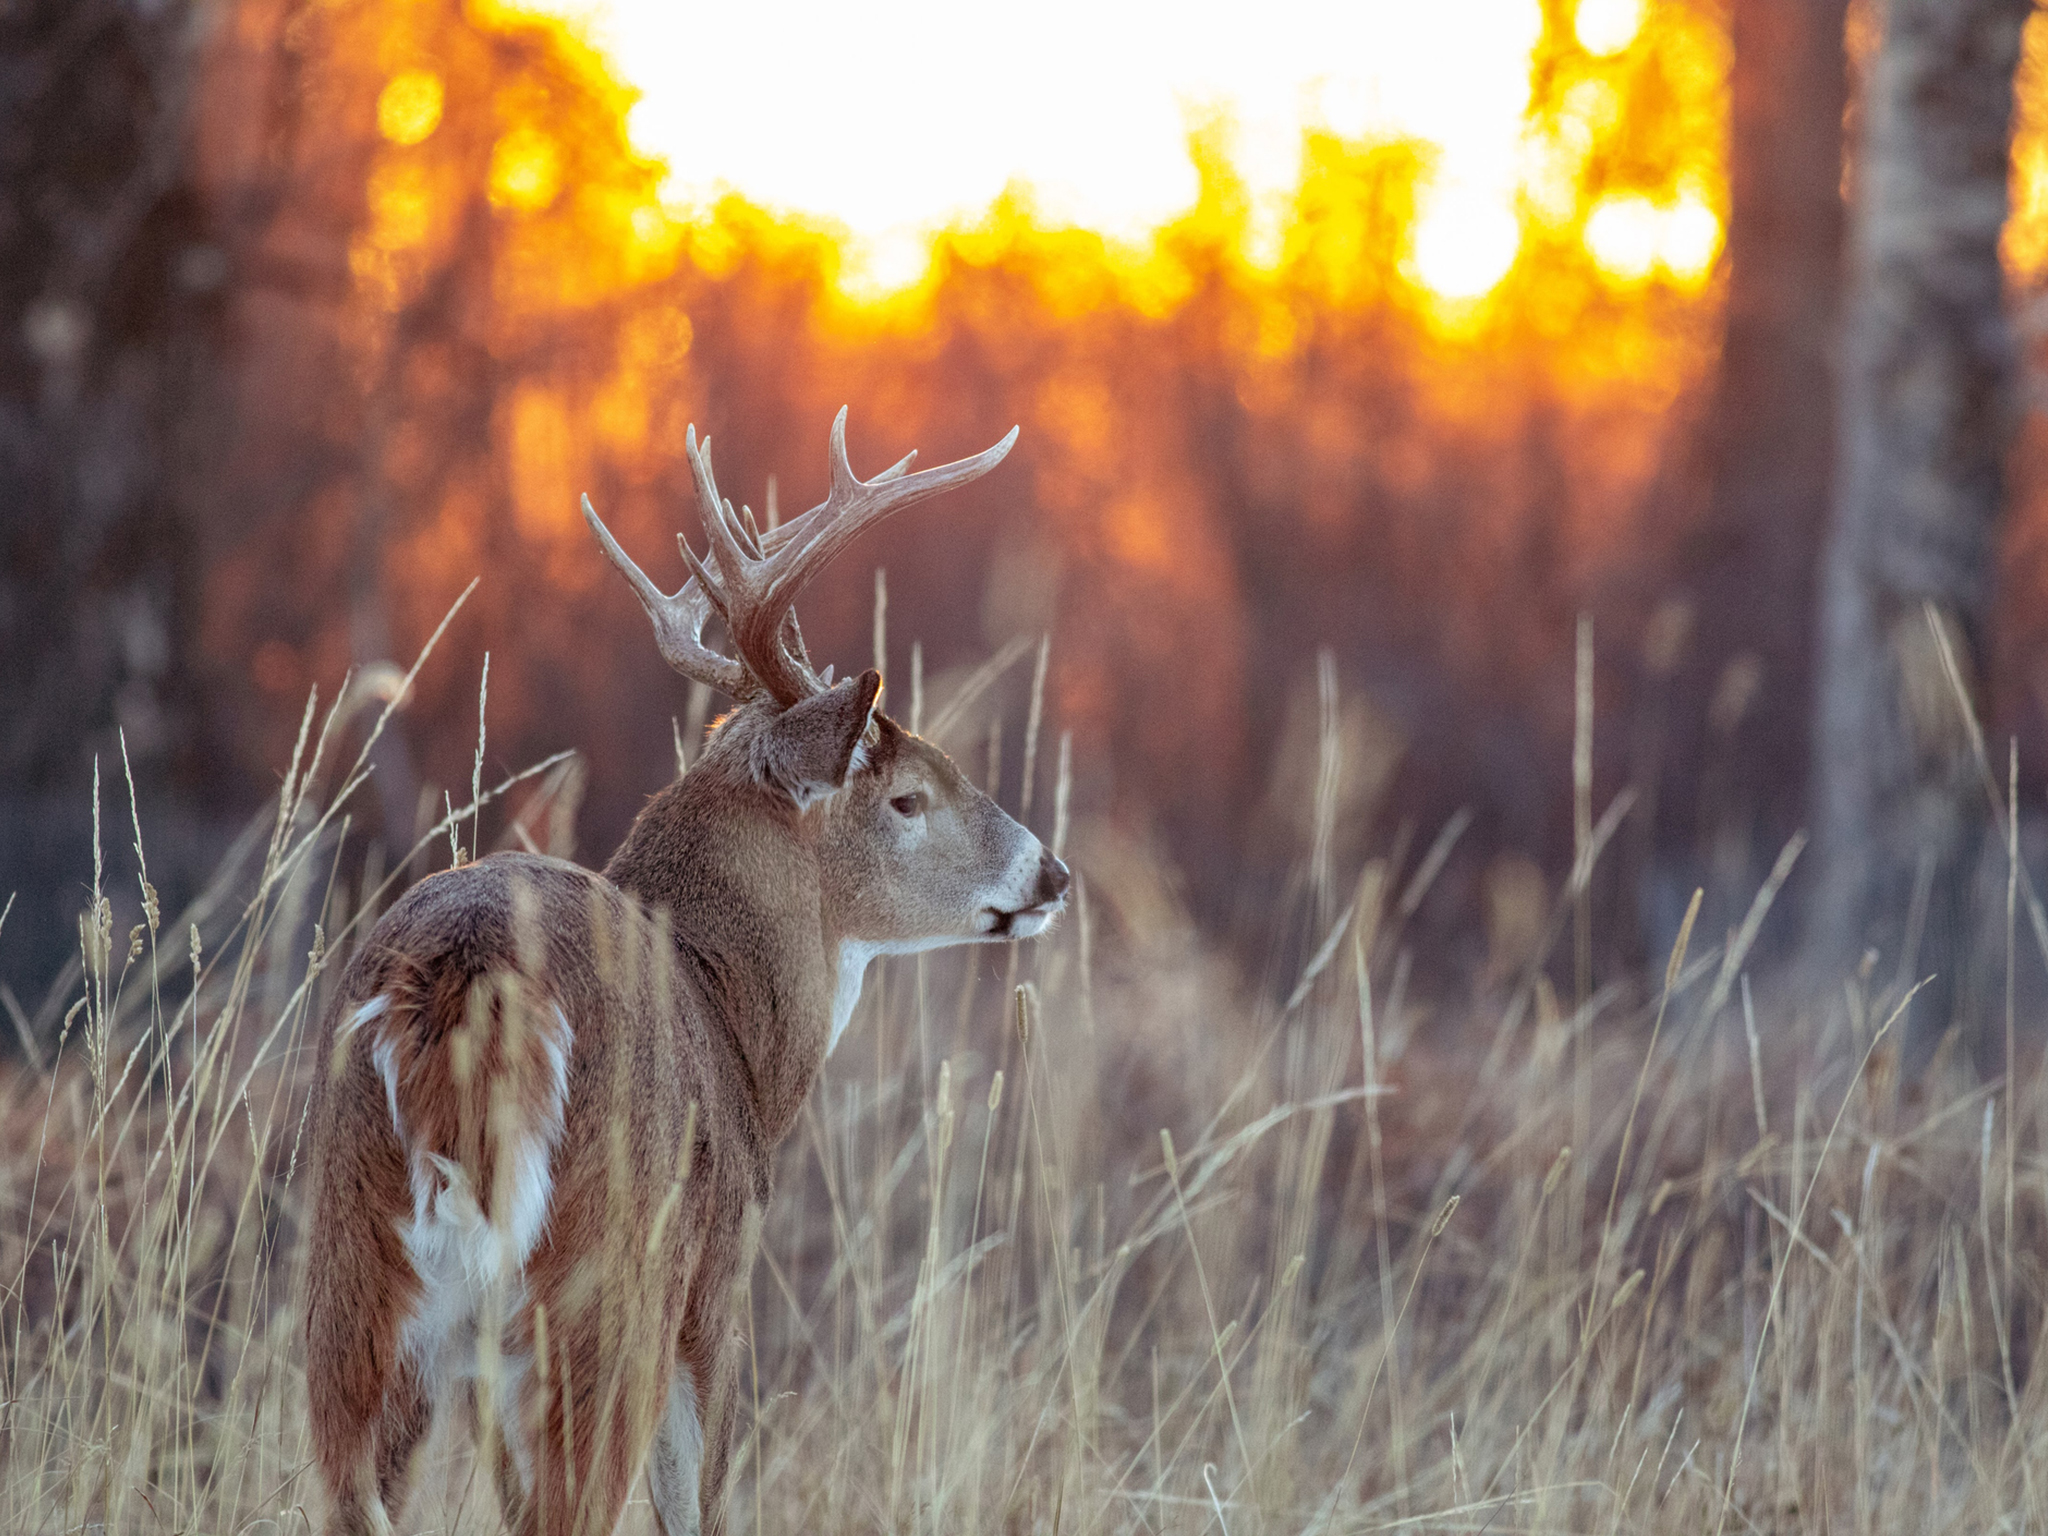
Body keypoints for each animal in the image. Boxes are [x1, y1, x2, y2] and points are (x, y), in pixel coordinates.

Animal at [300, 409, 1068, 1536]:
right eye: (910, 796)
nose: (1051, 872)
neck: (733, 1021)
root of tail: (469, 984)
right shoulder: (717, 1290)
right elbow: (703, 1502)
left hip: (353, 1296)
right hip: (601, 1292)